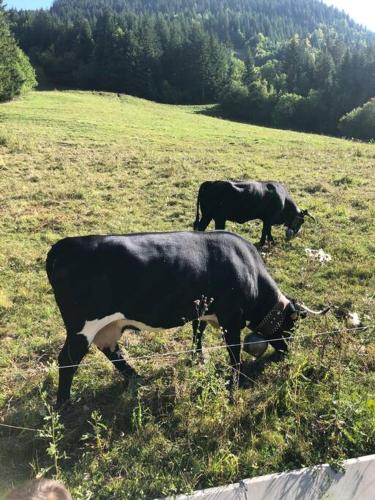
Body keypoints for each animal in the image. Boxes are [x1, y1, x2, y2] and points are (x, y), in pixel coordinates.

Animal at [47, 231, 328, 406]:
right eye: (292, 325)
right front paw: (233, 384)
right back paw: (64, 403)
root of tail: (64, 246)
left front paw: (197, 358)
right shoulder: (231, 318)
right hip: (82, 327)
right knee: (68, 361)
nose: (287, 353)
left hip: (108, 326)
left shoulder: (201, 309)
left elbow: (197, 332)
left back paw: (137, 377)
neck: (249, 270)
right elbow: (234, 354)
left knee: (112, 352)